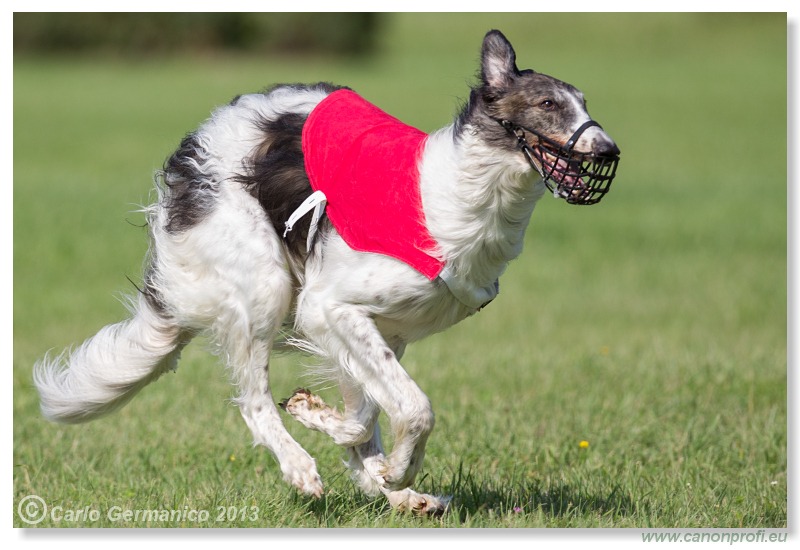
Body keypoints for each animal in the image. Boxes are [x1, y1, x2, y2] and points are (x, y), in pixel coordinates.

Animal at [32, 30, 620, 516]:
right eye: (548, 104)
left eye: (585, 104)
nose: (610, 149)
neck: (451, 200)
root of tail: (208, 131)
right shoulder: (328, 304)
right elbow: (415, 408)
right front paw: (392, 468)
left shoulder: (384, 330)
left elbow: (366, 415)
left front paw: (356, 449)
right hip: (263, 282)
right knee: (253, 400)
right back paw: (303, 468)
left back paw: (401, 495)